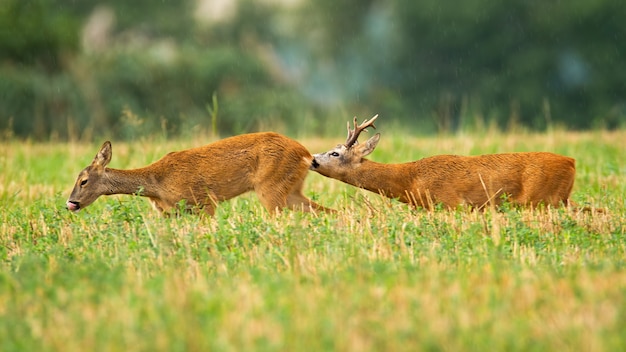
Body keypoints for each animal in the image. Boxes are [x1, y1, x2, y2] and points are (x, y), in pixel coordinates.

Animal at [65, 131, 332, 216]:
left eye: (83, 181)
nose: (71, 202)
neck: (157, 184)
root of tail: (306, 154)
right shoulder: (173, 212)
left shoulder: (203, 200)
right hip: (291, 189)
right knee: (327, 211)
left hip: (270, 187)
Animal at [308, 115, 576, 209]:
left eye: (335, 153)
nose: (312, 160)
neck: (411, 180)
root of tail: (572, 161)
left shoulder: (450, 203)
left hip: (542, 198)